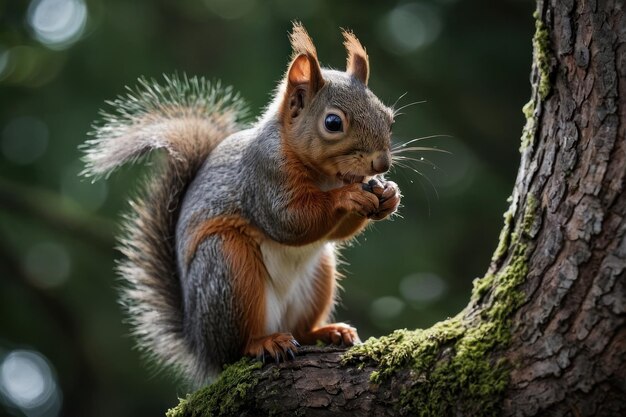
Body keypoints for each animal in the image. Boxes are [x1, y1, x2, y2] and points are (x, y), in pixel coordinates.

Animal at [80, 22, 400, 386]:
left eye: (389, 118)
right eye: (333, 123)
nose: (381, 163)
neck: (326, 176)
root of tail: (201, 346)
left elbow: (334, 232)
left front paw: (389, 194)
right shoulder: (264, 175)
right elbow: (291, 221)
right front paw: (348, 197)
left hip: (319, 275)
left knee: (300, 330)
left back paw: (326, 332)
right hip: (228, 267)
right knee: (235, 347)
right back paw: (264, 342)